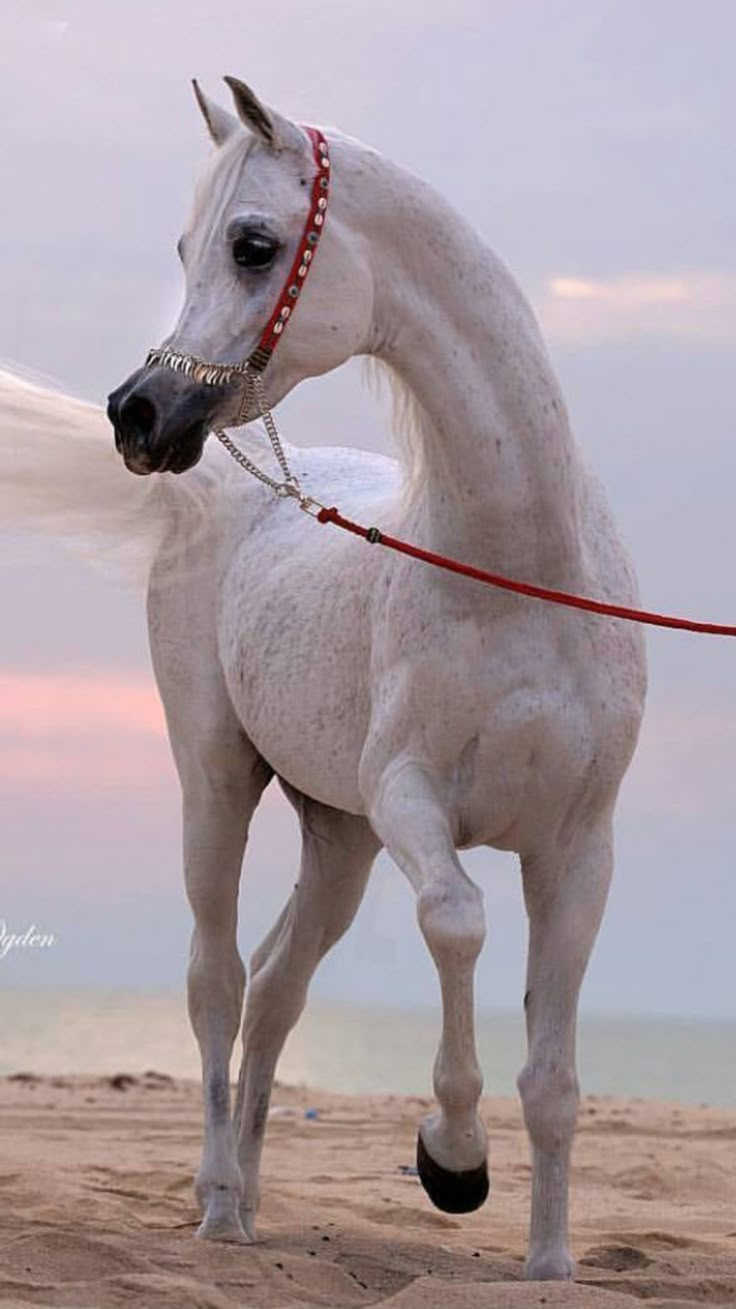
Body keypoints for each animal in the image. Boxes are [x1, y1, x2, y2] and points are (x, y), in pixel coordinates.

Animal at [0, 79, 641, 1277]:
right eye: (185, 246)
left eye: (253, 245)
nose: (138, 414)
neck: (515, 573)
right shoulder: (411, 801)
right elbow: (457, 920)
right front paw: (452, 1161)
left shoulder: (578, 850)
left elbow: (554, 1076)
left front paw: (548, 1264)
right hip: (219, 785)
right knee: (217, 977)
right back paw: (216, 1203)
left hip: (337, 837)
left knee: (276, 985)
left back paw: (252, 1201)